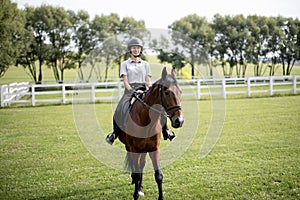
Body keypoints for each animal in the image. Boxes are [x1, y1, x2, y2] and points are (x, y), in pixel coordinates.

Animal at [118, 67, 184, 200]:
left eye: (180, 91)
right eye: (167, 92)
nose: (179, 121)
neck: (145, 120)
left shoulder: (154, 148)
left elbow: (158, 175)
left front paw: (160, 197)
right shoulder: (134, 149)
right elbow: (137, 172)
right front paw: (135, 194)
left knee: (141, 165)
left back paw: (140, 187)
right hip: (130, 147)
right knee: (135, 167)